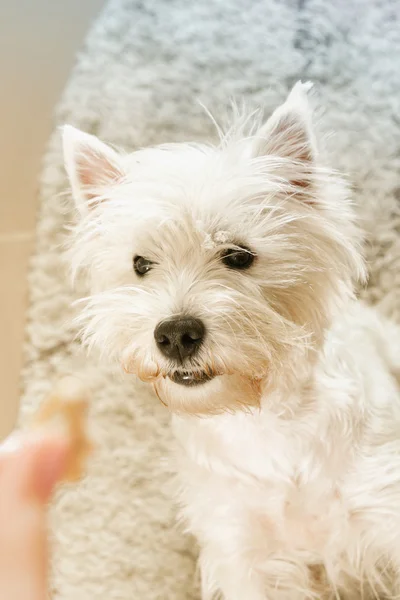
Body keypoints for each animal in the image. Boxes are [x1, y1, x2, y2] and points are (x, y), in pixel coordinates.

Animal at [62, 83, 400, 600]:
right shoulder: (244, 551)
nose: (175, 335)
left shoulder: (381, 508)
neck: (266, 425)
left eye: (239, 255)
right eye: (141, 264)